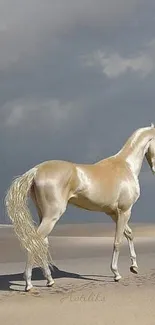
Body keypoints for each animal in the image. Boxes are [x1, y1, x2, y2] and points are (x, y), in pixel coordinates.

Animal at [5, 124, 155, 292]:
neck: (125, 167)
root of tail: (36, 170)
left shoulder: (113, 213)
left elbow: (129, 234)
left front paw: (134, 267)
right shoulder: (124, 211)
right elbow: (117, 241)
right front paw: (116, 274)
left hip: (43, 215)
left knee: (41, 243)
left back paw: (49, 280)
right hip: (52, 216)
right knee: (35, 241)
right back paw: (29, 284)